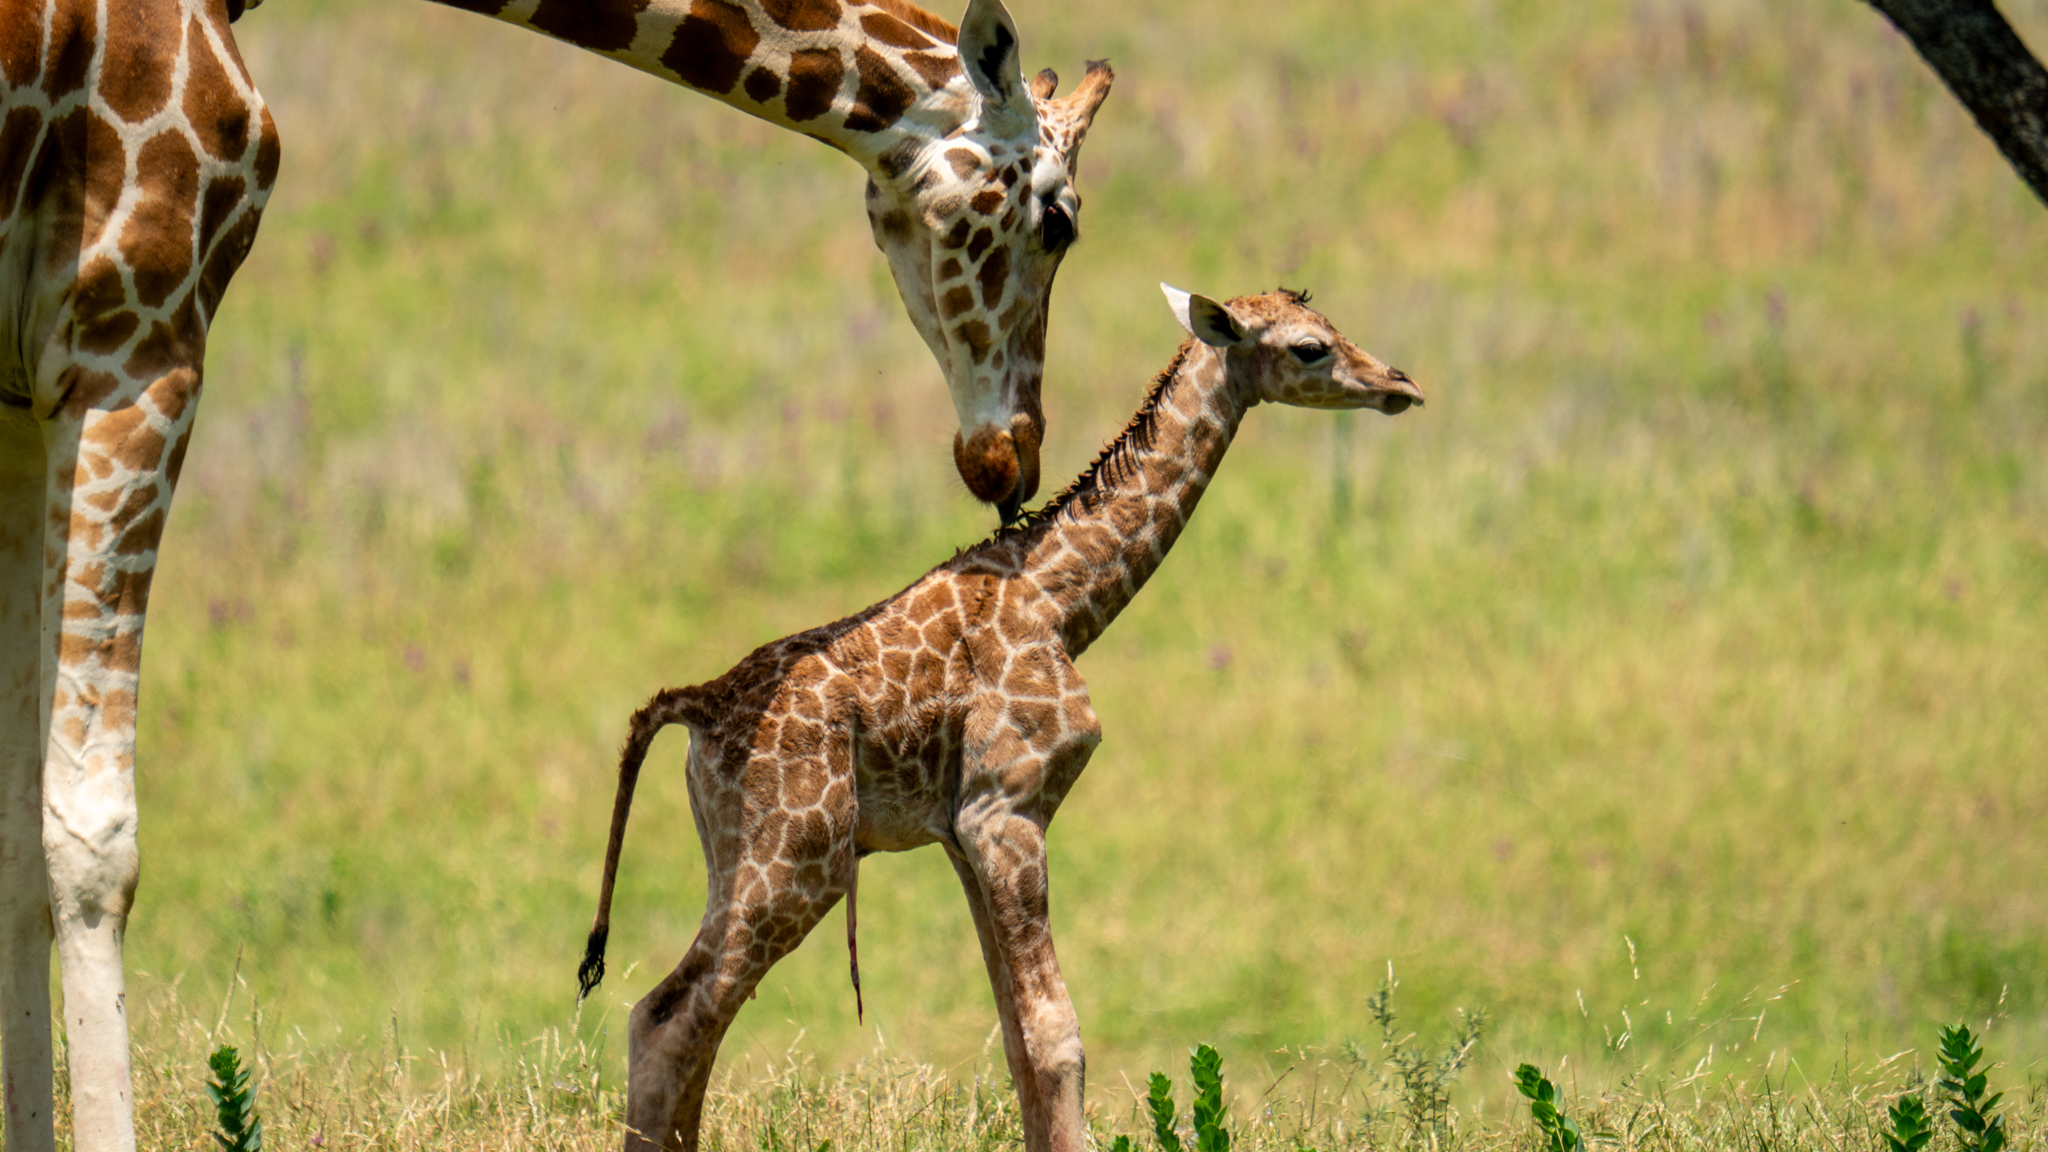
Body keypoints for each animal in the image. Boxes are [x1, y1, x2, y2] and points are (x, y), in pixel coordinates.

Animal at [1, 1, 1110, 1149]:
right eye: (1061, 220)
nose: (1014, 458)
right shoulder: (133, 331)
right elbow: (91, 837)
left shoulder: (26, 383)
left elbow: (16, 834)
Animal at [577, 285, 1425, 1152]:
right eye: (1309, 348)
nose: (1400, 385)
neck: (1061, 600)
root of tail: (698, 705)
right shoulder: (1007, 810)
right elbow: (1056, 1035)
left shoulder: (962, 831)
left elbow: (1016, 1036)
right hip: (798, 859)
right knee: (668, 1019)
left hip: (737, 857)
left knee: (682, 1018)